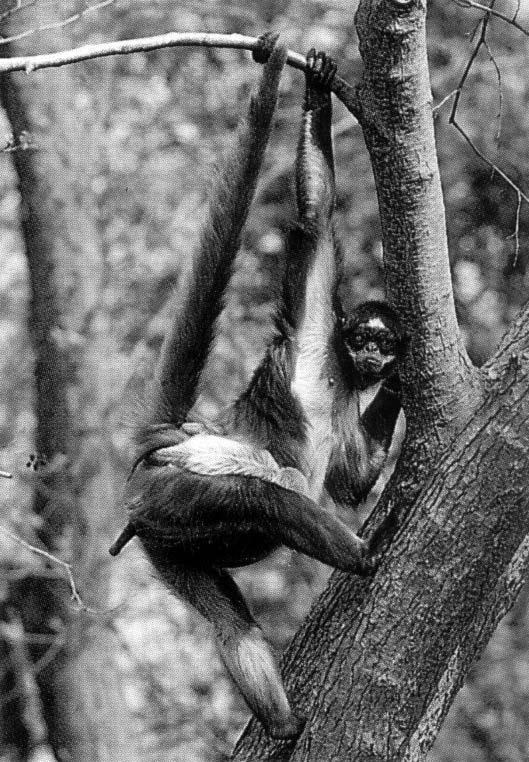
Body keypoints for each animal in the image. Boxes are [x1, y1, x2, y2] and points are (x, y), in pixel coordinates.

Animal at [109, 38, 400, 740]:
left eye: (382, 343)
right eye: (363, 337)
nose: (374, 354)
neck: (340, 373)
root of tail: (175, 436)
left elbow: (351, 480)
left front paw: (403, 384)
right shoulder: (317, 329)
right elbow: (316, 219)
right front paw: (318, 88)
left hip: (164, 538)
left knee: (229, 622)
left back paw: (283, 725)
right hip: (177, 492)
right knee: (268, 498)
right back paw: (362, 553)